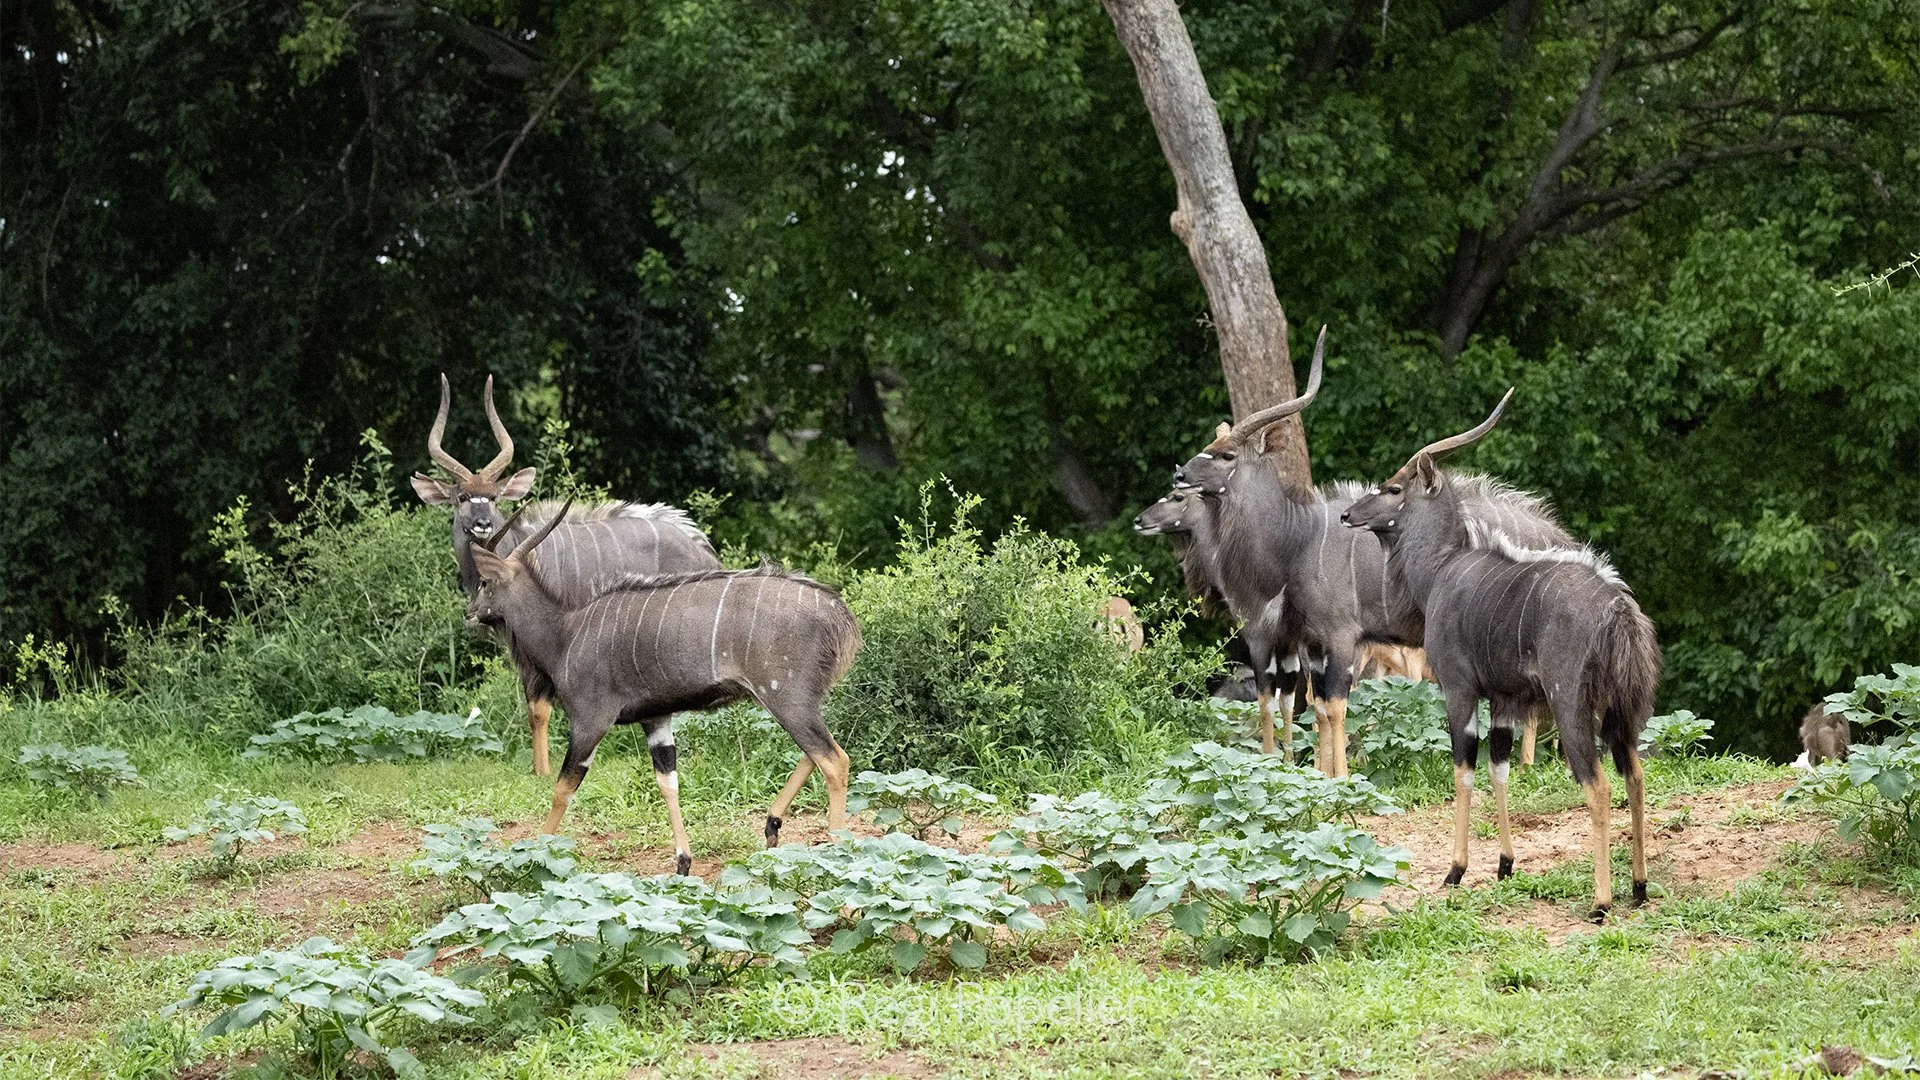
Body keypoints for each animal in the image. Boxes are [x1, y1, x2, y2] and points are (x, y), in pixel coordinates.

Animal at [411, 375, 720, 776]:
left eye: (493, 497)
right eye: (462, 497)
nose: (481, 524)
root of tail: (703, 548)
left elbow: (539, 708)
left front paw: (542, 772)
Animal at [468, 503, 861, 872]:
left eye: (484, 583)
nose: (469, 612)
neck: (564, 634)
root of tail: (838, 615)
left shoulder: (589, 721)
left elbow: (563, 789)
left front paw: (537, 854)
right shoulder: (655, 718)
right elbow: (668, 782)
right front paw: (683, 862)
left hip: (786, 697)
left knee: (834, 759)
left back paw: (836, 848)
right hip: (796, 701)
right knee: (815, 752)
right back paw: (772, 825)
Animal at [1174, 329, 1573, 775]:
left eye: (1227, 454)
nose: (1180, 473)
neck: (1297, 539)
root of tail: (1558, 536)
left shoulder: (1340, 636)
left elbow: (1335, 705)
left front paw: (1342, 778)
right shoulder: (1312, 642)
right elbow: (1318, 707)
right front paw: (1318, 773)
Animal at [1341, 392, 1660, 920]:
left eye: (1392, 488)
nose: (1347, 515)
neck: (1440, 571)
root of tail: (1618, 612)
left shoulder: (1459, 689)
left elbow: (1464, 769)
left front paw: (1455, 870)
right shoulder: (1508, 700)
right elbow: (1499, 766)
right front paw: (1505, 864)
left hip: (1572, 706)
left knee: (1599, 786)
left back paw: (1600, 902)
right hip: (1625, 712)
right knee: (1634, 775)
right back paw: (1637, 887)